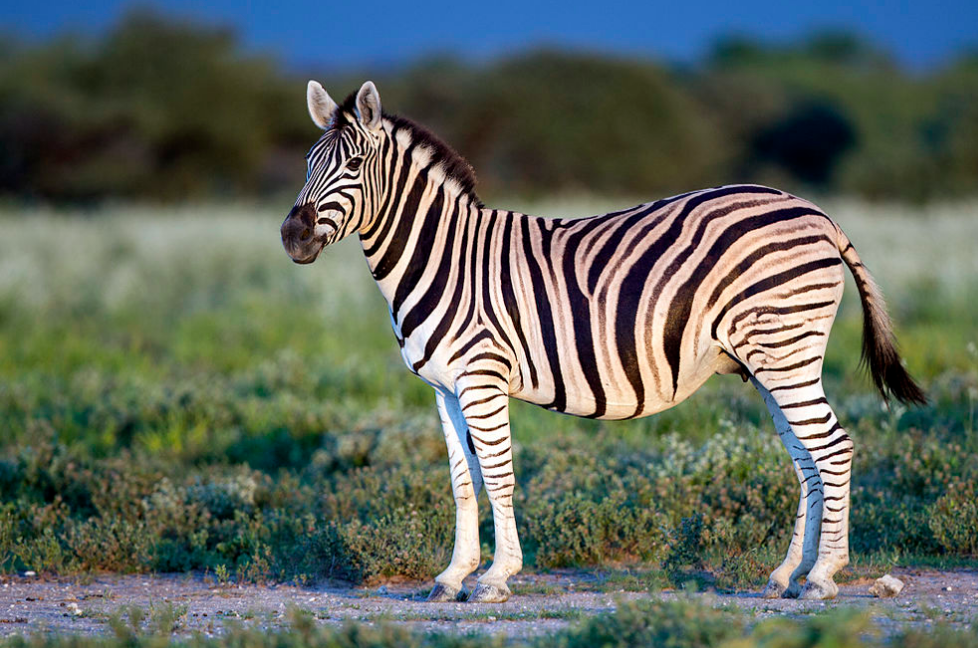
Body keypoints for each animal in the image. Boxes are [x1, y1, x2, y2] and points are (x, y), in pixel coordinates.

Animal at [280, 79, 924, 604]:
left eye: (354, 164)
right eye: (308, 163)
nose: (292, 236)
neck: (442, 256)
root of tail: (816, 212)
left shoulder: (482, 377)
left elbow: (498, 474)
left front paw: (495, 578)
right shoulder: (443, 387)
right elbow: (463, 483)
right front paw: (452, 576)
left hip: (785, 350)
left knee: (833, 448)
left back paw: (823, 578)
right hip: (771, 361)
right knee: (808, 460)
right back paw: (788, 574)